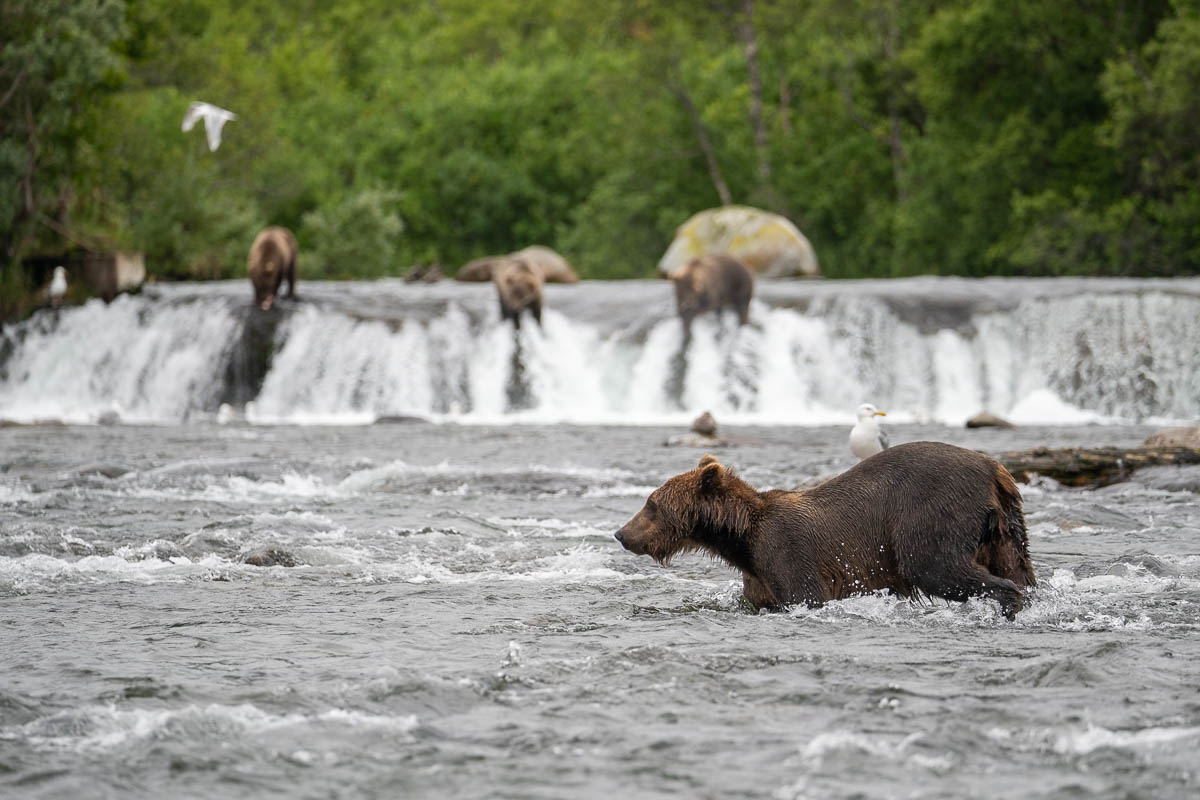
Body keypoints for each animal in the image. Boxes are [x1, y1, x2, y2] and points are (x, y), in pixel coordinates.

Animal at [614, 438, 1036, 618]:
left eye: (651, 504)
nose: (621, 533)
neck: (742, 542)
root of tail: (995, 468)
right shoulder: (758, 577)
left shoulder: (787, 553)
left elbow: (804, 595)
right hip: (1003, 527)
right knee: (1018, 565)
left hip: (933, 512)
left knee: (935, 565)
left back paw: (1005, 604)